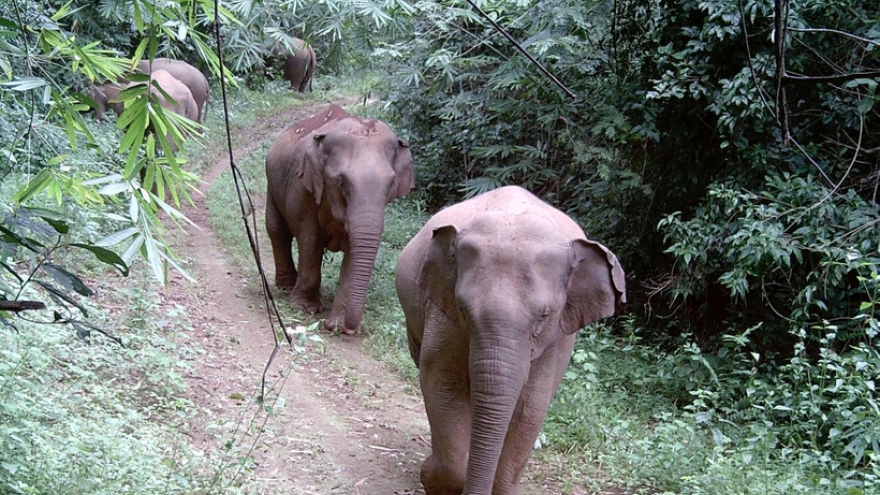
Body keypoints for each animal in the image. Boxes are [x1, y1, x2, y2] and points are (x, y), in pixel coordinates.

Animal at [265, 104, 414, 335]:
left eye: (391, 184)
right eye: (342, 182)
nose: (327, 326)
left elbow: (355, 251)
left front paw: (340, 326)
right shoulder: (302, 188)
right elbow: (310, 241)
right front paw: (304, 308)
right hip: (272, 183)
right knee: (277, 230)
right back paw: (286, 286)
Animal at [395, 185, 626, 495]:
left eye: (543, 316)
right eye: (463, 309)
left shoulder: (559, 337)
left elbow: (531, 406)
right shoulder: (444, 318)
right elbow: (441, 383)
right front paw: (430, 477)